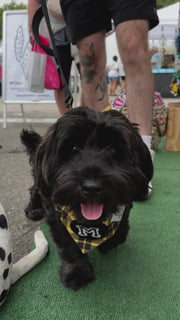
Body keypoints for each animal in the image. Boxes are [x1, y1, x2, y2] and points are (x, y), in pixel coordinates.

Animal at [21, 107, 153, 290]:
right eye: (74, 148)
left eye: (113, 150)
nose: (92, 187)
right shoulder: (57, 216)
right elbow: (69, 247)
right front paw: (76, 272)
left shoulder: (124, 206)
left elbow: (120, 231)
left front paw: (108, 242)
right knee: (34, 190)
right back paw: (34, 209)